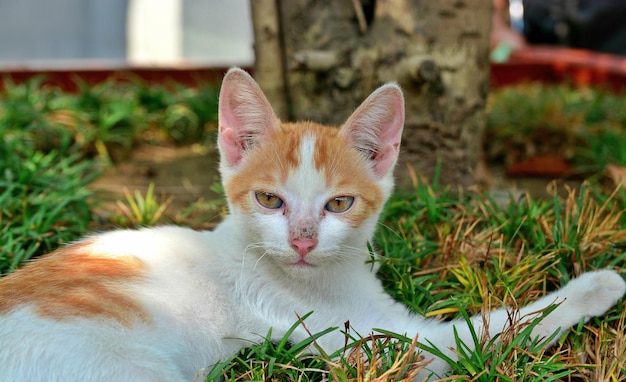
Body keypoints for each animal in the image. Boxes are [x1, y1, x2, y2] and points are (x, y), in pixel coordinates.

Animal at [1, 67, 624, 380]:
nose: (302, 240)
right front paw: (598, 286)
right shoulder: (362, 343)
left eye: (339, 204)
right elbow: (487, 334)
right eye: (269, 200)